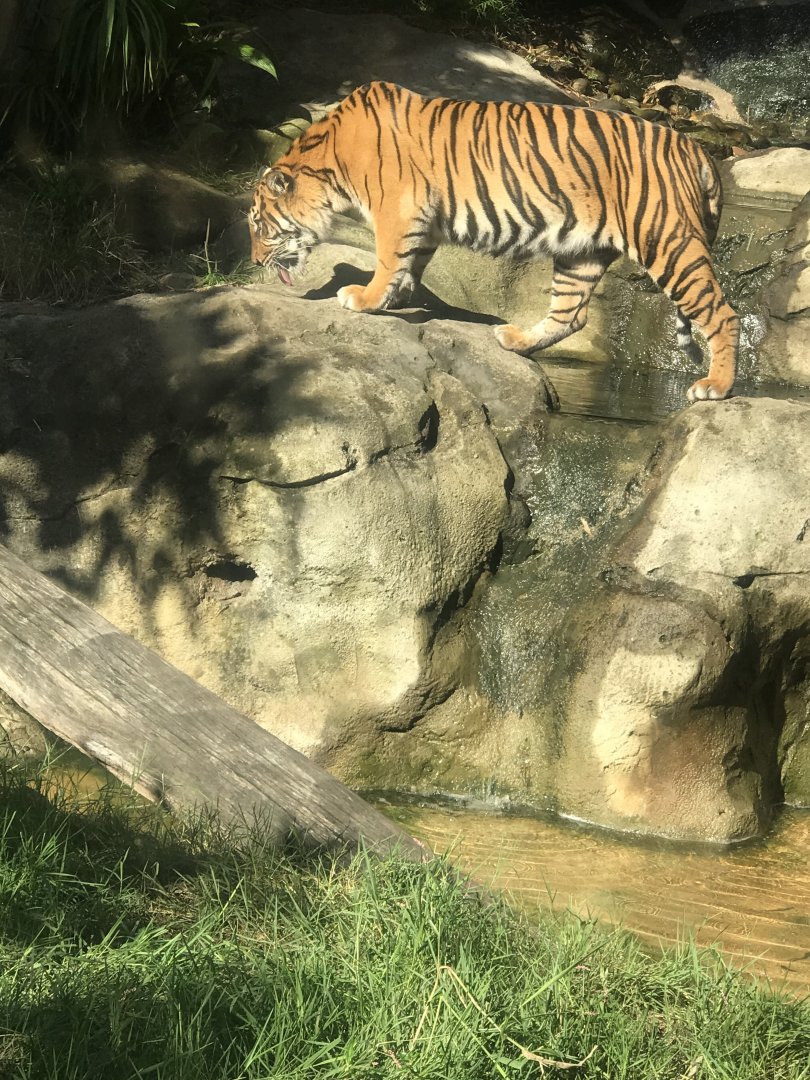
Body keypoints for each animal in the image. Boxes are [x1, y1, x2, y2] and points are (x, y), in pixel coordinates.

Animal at [249, 80, 739, 403]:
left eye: (257, 225)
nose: (253, 261)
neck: (328, 164)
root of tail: (697, 150)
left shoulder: (398, 210)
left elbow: (388, 259)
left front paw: (364, 298)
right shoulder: (423, 219)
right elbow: (410, 262)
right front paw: (396, 298)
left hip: (667, 241)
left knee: (722, 313)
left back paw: (715, 386)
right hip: (581, 252)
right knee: (571, 315)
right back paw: (515, 340)